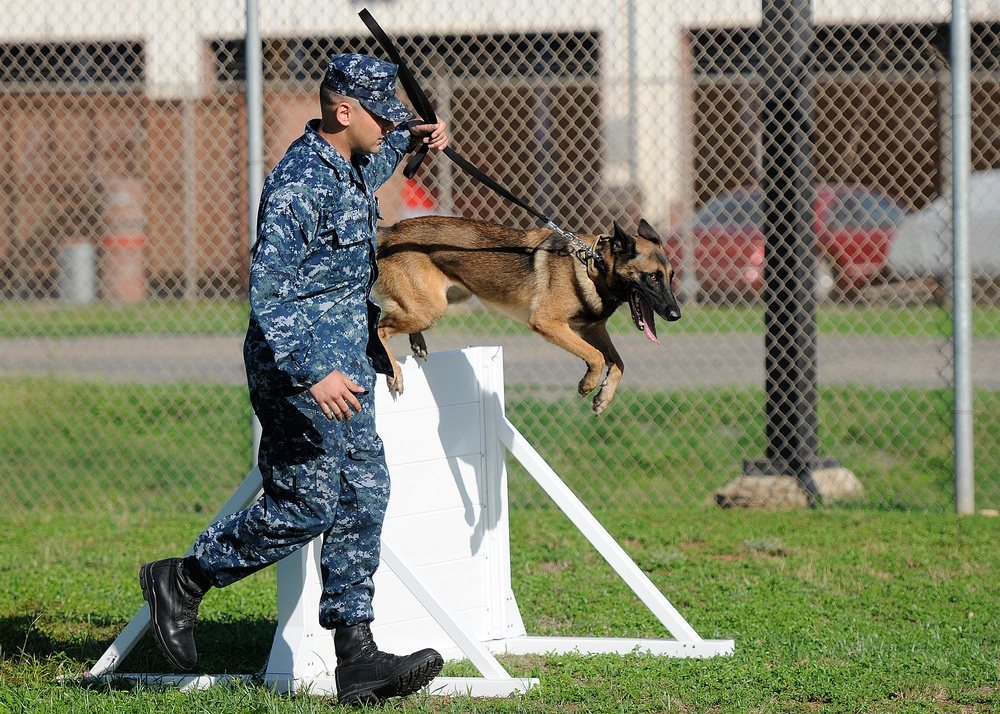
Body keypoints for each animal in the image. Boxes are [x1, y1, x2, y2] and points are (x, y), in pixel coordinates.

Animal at [372, 217, 684, 414]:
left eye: (670, 277)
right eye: (652, 277)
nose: (675, 314)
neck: (593, 265)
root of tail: (390, 231)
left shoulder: (592, 329)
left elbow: (618, 362)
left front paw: (603, 397)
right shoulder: (549, 324)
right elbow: (596, 357)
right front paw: (589, 384)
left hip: (445, 299)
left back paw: (417, 343)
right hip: (430, 309)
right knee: (378, 328)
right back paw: (394, 371)